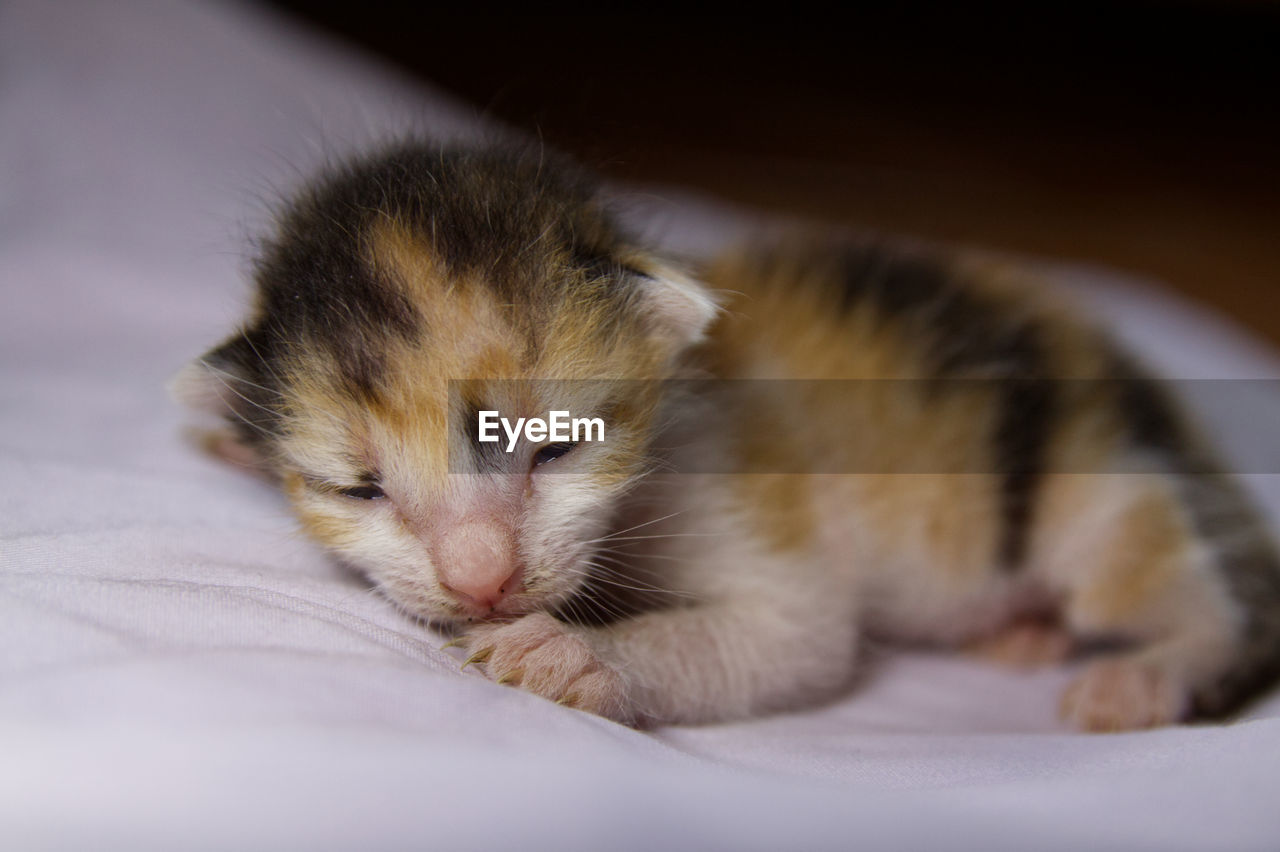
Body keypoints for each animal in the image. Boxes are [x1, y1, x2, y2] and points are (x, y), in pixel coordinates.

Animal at [177, 142, 1280, 726]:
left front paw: (574, 658)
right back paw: (1023, 632)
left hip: (1094, 485)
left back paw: (1145, 673)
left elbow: (791, 636)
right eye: (357, 487)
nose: (481, 582)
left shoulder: (739, 483)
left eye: (555, 444)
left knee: (1198, 603)